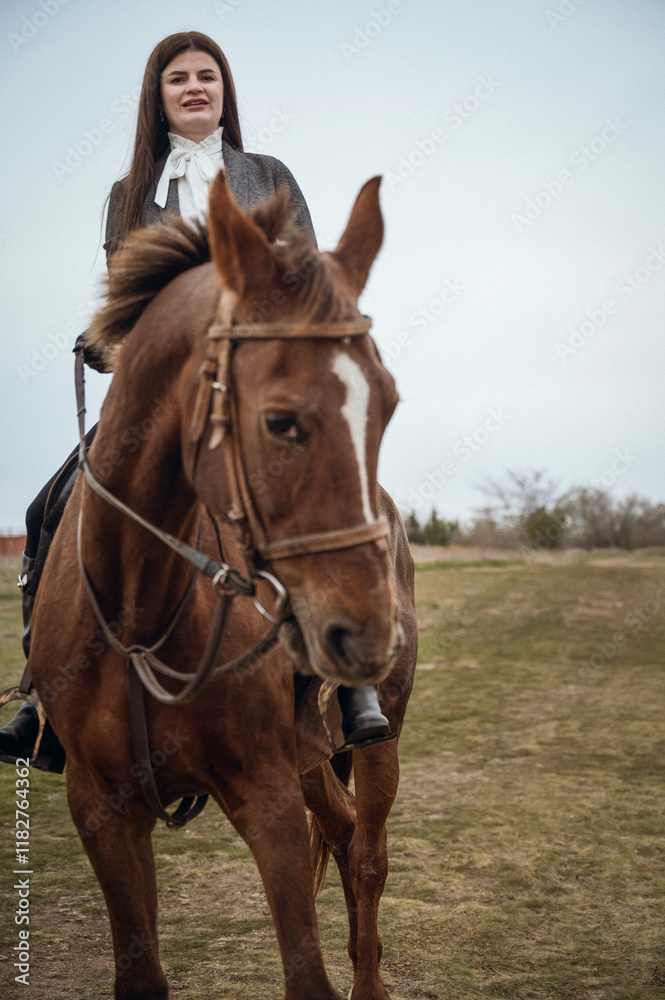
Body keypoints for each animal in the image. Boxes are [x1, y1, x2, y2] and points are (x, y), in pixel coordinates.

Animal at [27, 172, 417, 1000]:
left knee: (367, 855)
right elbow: (141, 972)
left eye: (388, 404)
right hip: (310, 756)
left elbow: (308, 973)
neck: (138, 614)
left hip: (376, 739)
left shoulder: (265, 795)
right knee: (339, 834)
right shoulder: (101, 810)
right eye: (279, 420)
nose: (367, 633)